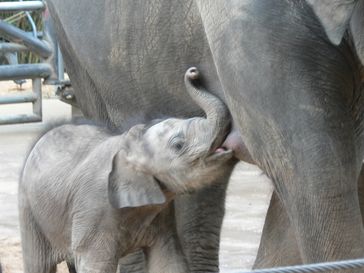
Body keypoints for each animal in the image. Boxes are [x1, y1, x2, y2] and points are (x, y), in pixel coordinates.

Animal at [19, 67, 236, 272]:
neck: (131, 145)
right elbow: (96, 266)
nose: (193, 72)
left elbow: (168, 261)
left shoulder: (161, 212)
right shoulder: (94, 210)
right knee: (38, 264)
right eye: (178, 145)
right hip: (30, 211)